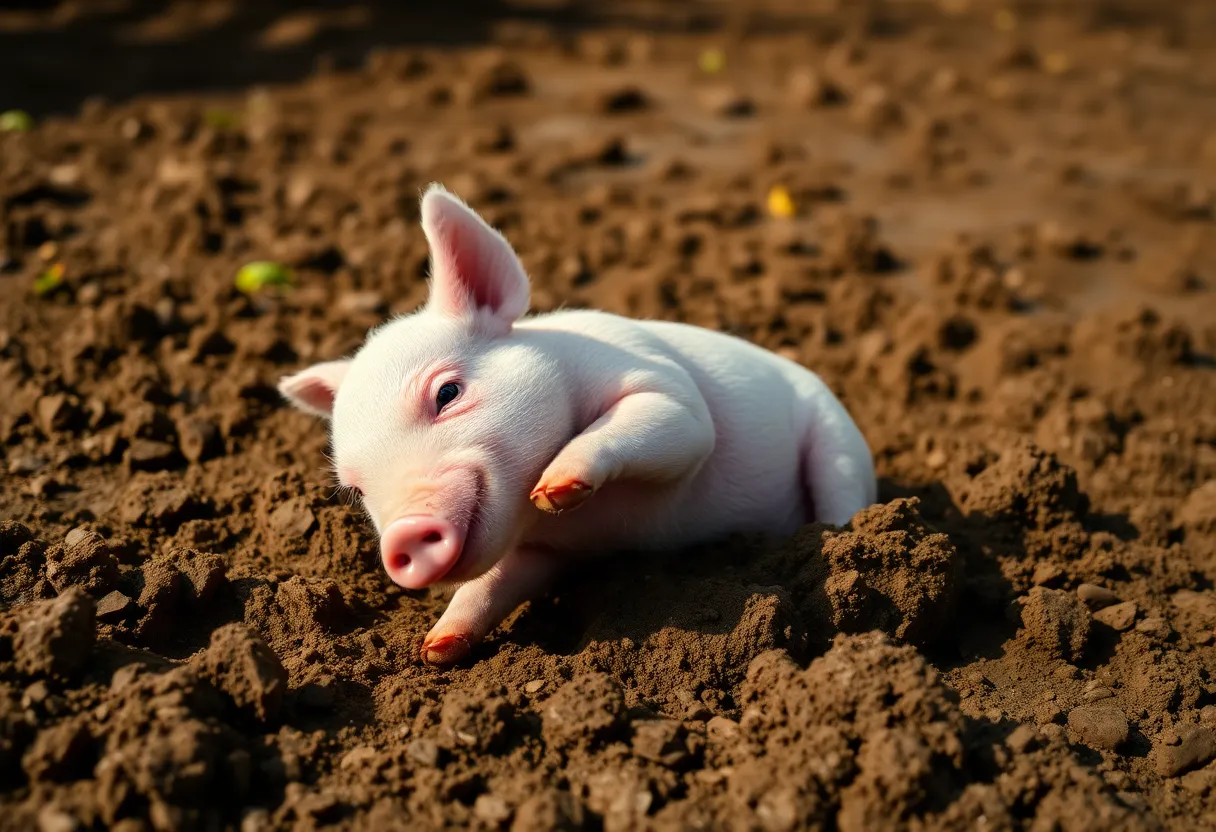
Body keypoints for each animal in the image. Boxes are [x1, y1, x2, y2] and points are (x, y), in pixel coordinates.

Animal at [278, 183, 877, 667]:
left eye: (447, 393)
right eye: (356, 489)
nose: (402, 535)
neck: (599, 531)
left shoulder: (667, 389)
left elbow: (673, 424)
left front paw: (554, 486)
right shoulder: (543, 553)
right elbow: (493, 583)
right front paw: (436, 648)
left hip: (838, 441)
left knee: (840, 490)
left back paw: (840, 537)